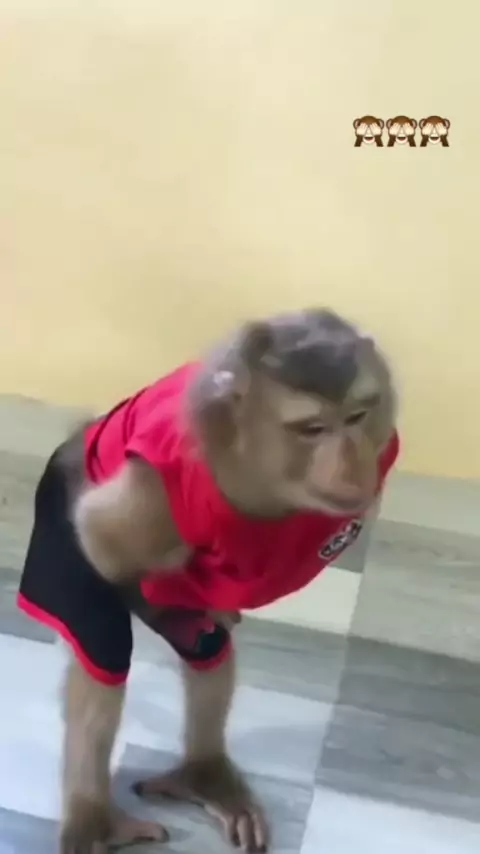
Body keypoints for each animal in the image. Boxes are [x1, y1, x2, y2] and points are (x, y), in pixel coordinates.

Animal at [17, 308, 400, 853]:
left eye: (357, 417)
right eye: (312, 428)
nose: (350, 462)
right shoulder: (166, 485)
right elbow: (101, 536)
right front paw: (182, 591)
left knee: (207, 653)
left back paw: (204, 773)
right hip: (58, 515)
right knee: (102, 648)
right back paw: (93, 820)